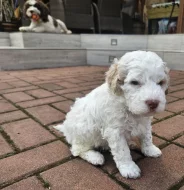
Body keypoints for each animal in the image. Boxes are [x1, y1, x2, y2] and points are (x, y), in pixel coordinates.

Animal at [54, 50, 170, 178]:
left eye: (161, 82)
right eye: (134, 82)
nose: (153, 103)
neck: (128, 107)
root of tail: (66, 129)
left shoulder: (145, 123)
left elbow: (147, 137)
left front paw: (150, 150)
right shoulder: (114, 131)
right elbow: (122, 151)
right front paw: (129, 168)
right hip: (84, 131)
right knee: (76, 150)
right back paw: (95, 157)